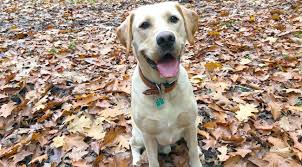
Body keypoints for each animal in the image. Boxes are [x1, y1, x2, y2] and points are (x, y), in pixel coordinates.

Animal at [117, 1, 202, 167]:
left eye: (173, 18)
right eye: (144, 25)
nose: (166, 38)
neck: (162, 88)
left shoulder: (189, 124)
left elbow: (193, 150)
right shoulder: (148, 135)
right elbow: (152, 159)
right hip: (138, 135)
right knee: (133, 144)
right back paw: (136, 160)